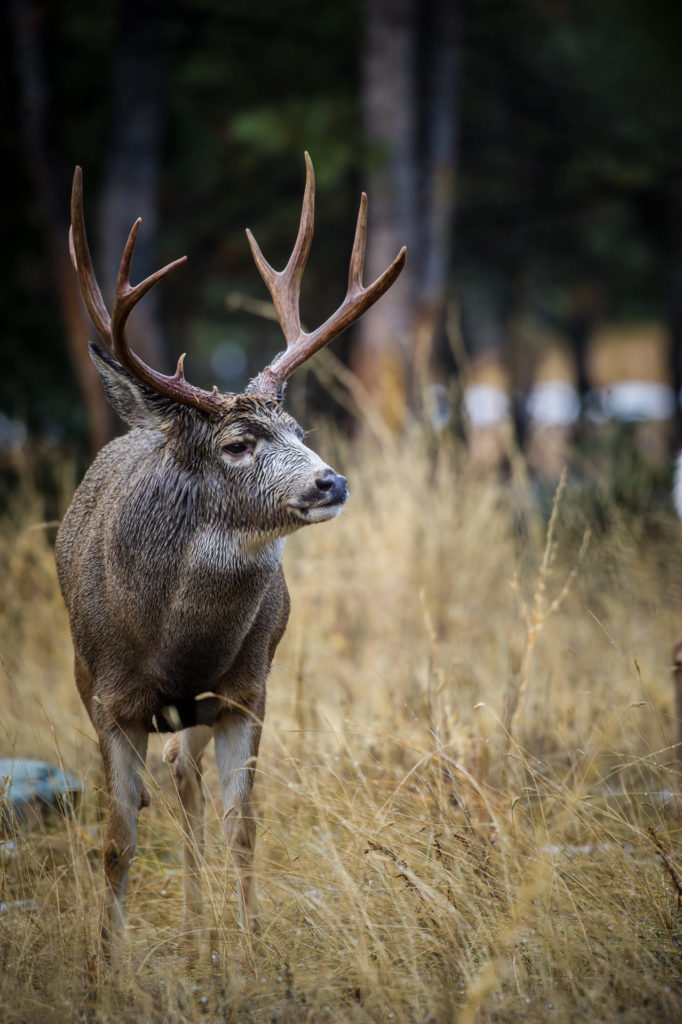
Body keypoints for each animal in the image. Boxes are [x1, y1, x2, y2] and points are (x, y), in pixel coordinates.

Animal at [57, 155, 403, 954]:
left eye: (301, 429)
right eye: (239, 444)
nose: (331, 480)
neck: (175, 640)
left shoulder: (249, 688)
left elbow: (242, 826)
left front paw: (246, 950)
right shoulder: (110, 699)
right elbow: (116, 842)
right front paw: (108, 963)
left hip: (207, 706)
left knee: (185, 779)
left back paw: (197, 933)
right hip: (92, 680)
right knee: (161, 791)